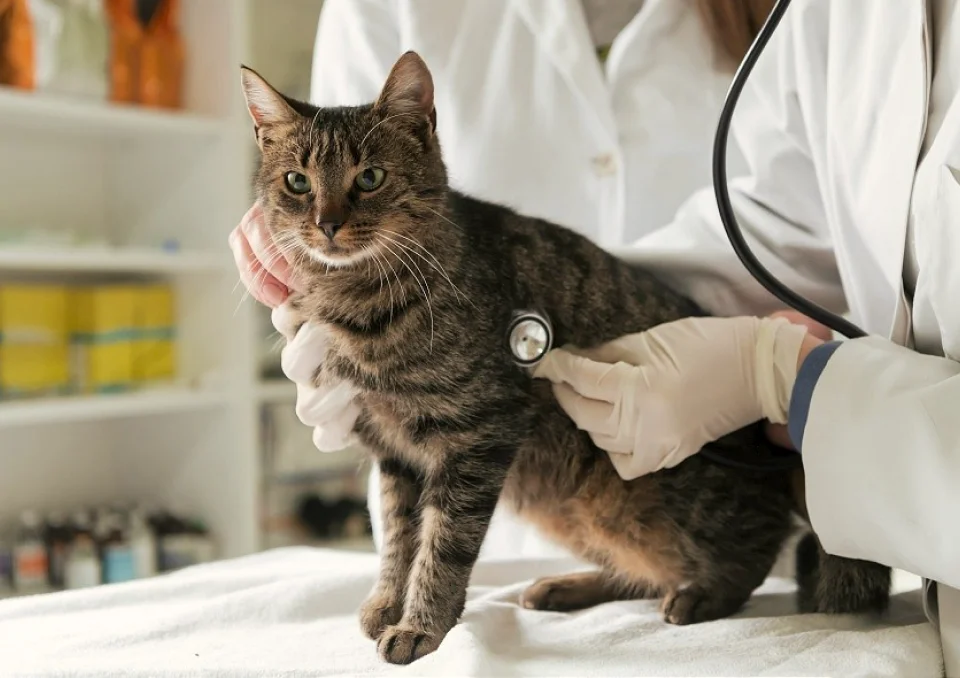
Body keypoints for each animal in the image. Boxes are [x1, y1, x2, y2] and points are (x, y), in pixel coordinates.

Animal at [242, 51, 892, 664]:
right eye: (297, 182)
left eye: (370, 177)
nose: (327, 223)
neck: (353, 300)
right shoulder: (395, 454)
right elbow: (399, 541)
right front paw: (386, 603)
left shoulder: (480, 436)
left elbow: (442, 545)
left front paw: (422, 626)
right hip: (574, 506)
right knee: (644, 565)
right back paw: (569, 586)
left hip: (645, 493)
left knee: (753, 544)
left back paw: (704, 594)